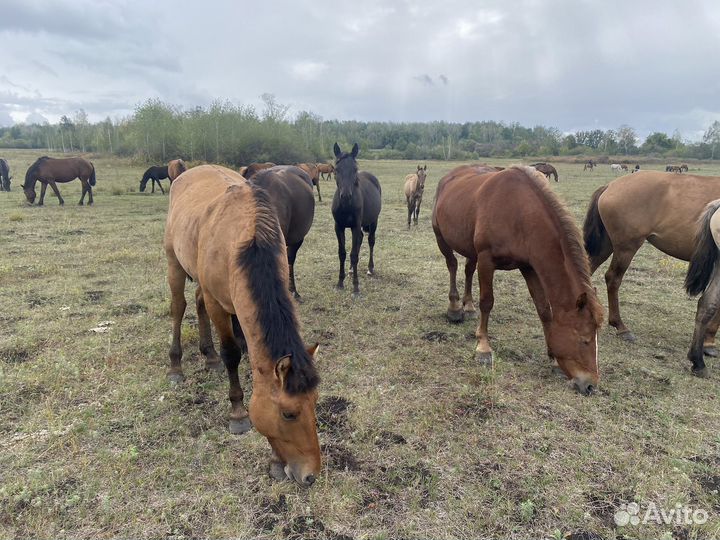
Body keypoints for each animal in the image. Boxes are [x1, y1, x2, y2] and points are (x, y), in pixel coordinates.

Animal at [331, 143, 382, 296]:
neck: (346, 206)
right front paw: (340, 283)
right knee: (360, 239)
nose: (346, 196)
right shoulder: (339, 227)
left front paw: (355, 288)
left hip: (373, 222)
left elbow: (354, 254)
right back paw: (351, 269)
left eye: (354, 169)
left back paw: (370, 269)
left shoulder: (355, 225)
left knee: (371, 241)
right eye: (336, 169)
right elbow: (342, 253)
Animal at [432, 165, 603, 395]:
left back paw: (468, 306)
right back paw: (454, 309)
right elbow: (487, 302)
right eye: (584, 340)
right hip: (442, 238)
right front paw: (483, 347)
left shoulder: (529, 267)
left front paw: (553, 359)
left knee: (467, 270)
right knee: (452, 265)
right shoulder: (486, 259)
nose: (590, 385)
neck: (520, 212)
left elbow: (544, 310)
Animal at [583, 171, 720, 365]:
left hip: (607, 244)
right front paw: (709, 342)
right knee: (613, 279)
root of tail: (611, 185)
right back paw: (620, 326)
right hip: (626, 247)